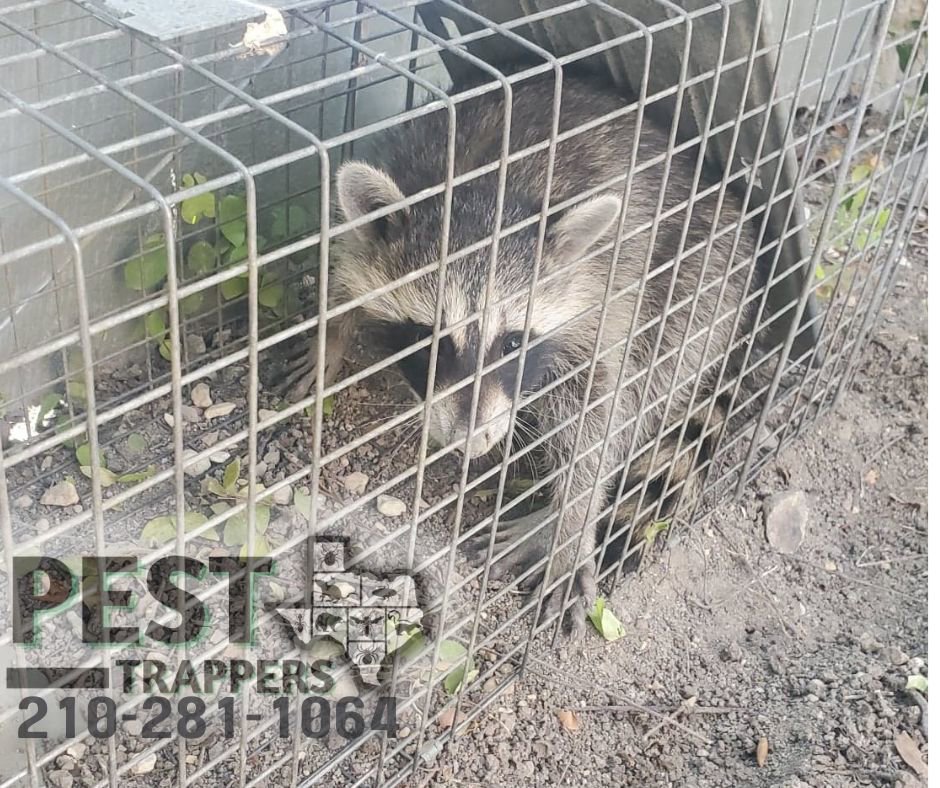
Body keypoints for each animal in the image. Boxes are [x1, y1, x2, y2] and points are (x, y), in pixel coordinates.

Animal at [283, 71, 759, 636]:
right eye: (430, 339)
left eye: (512, 342)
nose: (472, 441)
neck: (484, 189)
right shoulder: (378, 205)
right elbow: (342, 276)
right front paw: (329, 338)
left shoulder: (602, 293)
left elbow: (600, 413)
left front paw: (571, 524)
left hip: (708, 277)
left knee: (655, 374)